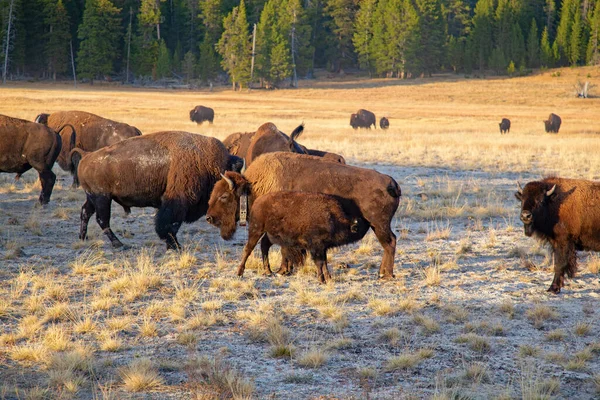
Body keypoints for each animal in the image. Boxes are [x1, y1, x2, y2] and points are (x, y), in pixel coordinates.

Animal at [75, 131, 244, 250]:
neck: (209, 165)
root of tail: (86, 157)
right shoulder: (176, 202)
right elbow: (169, 225)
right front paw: (175, 246)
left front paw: (174, 245)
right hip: (102, 198)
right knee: (102, 219)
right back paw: (119, 244)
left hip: (93, 198)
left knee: (86, 212)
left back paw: (83, 238)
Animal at [236, 190, 370, 282]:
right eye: (358, 227)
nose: (368, 223)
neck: (334, 219)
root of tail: (258, 201)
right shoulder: (316, 247)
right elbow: (320, 263)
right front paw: (322, 279)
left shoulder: (322, 248)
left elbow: (324, 263)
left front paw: (328, 278)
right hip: (256, 230)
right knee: (248, 249)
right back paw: (240, 272)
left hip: (269, 235)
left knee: (264, 245)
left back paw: (268, 271)